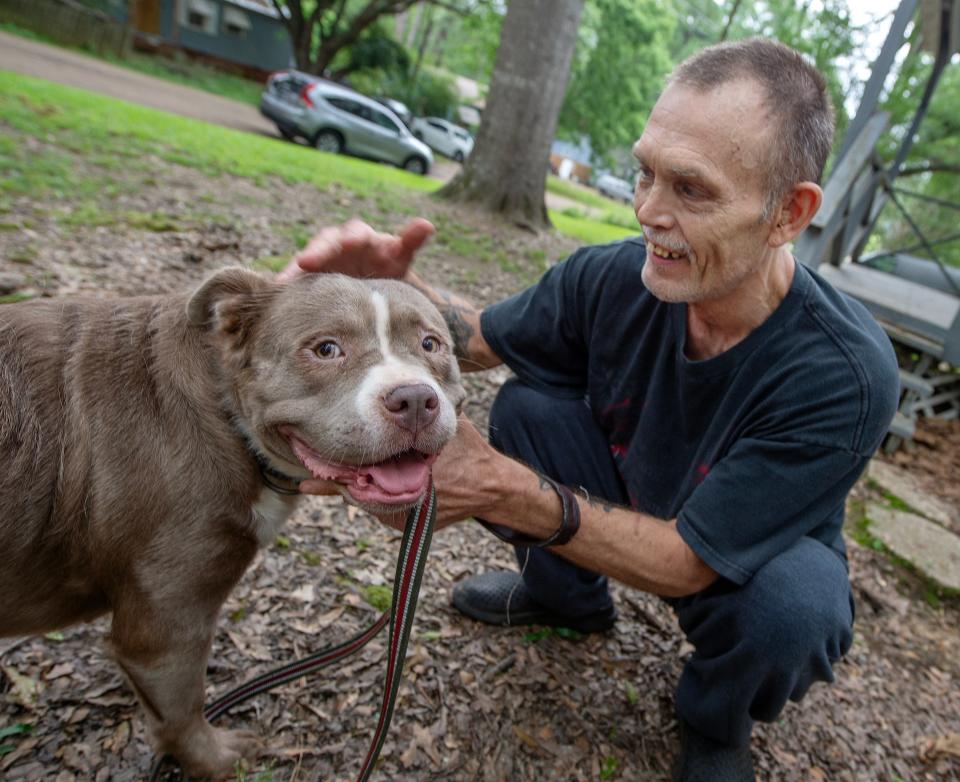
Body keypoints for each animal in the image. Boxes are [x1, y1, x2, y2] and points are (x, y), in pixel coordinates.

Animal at [0, 268, 464, 776]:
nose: (415, 399)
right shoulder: (167, 624)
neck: (225, 410)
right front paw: (218, 761)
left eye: (430, 344)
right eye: (326, 349)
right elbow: (181, 707)